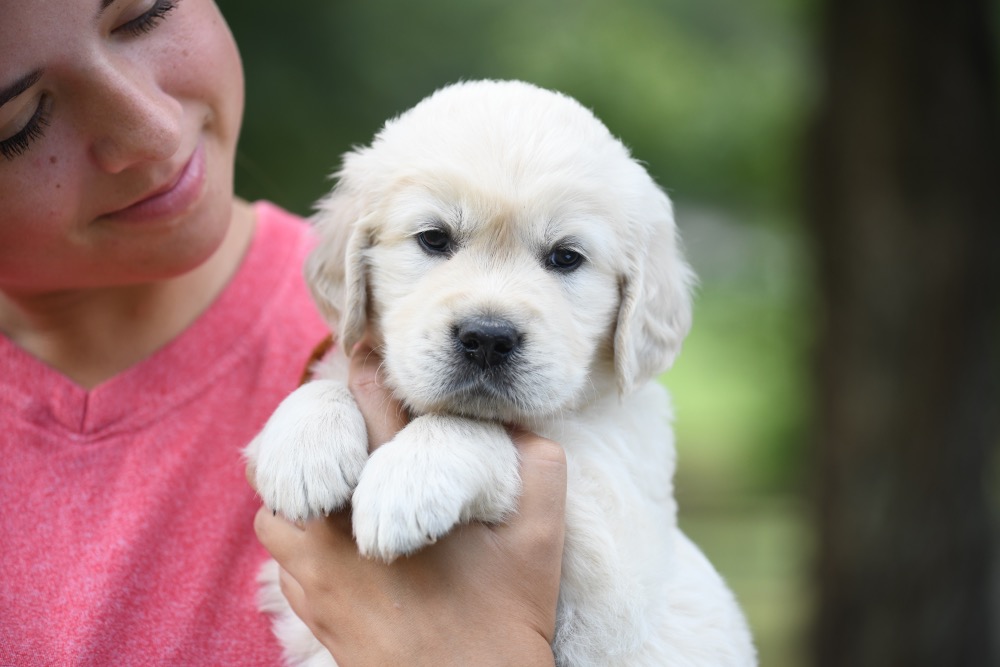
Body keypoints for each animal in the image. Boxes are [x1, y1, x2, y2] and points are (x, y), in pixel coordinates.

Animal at [248, 81, 756, 664]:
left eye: (565, 257)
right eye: (434, 238)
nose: (487, 338)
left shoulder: (613, 568)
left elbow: (481, 428)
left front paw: (408, 481)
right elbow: (318, 387)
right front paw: (303, 451)